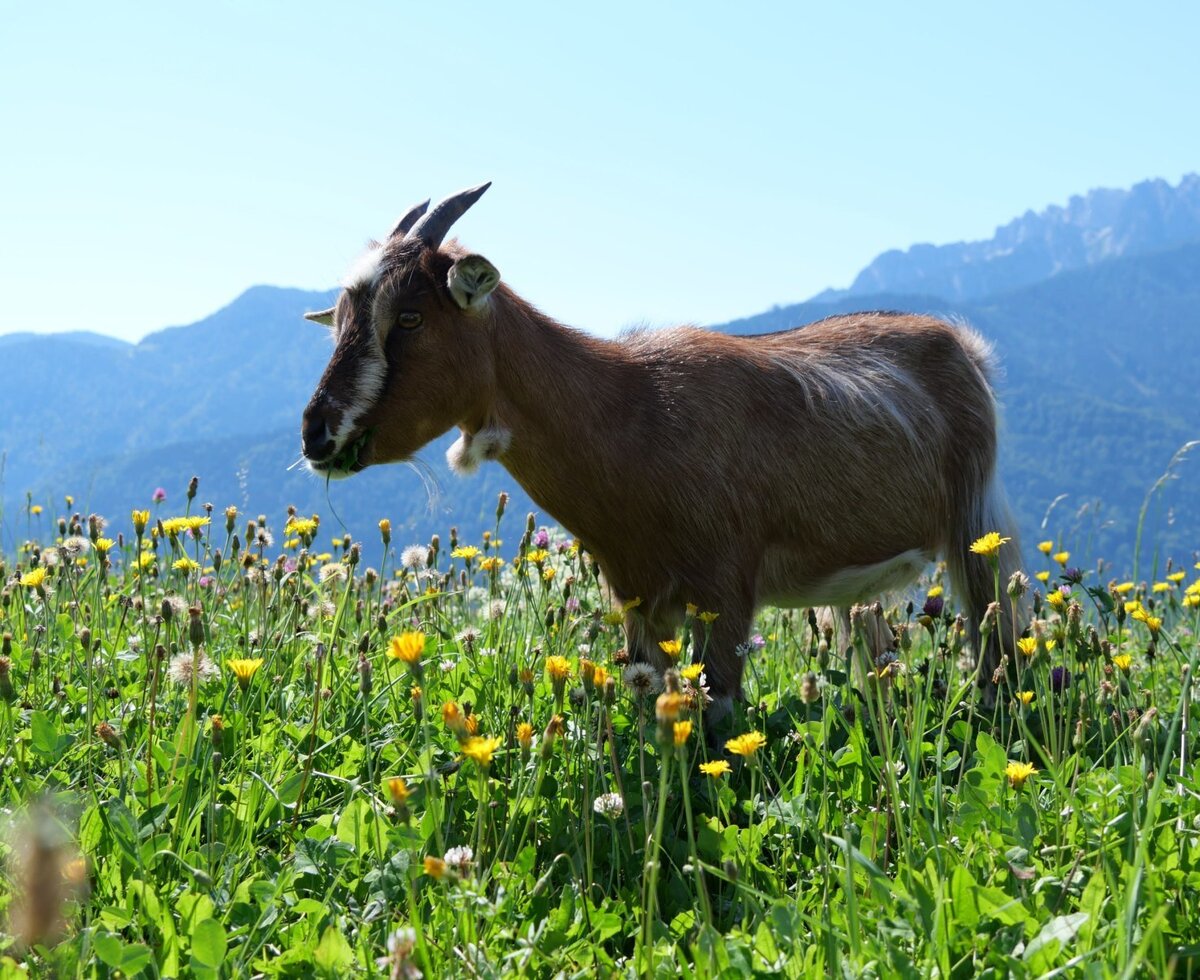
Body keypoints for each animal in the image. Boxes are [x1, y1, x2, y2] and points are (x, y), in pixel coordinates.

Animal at [300, 183, 1024, 723]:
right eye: (340, 321)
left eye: (410, 318)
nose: (316, 432)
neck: (630, 407)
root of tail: (963, 346)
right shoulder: (640, 598)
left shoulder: (726, 590)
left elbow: (718, 716)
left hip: (976, 524)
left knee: (1000, 644)